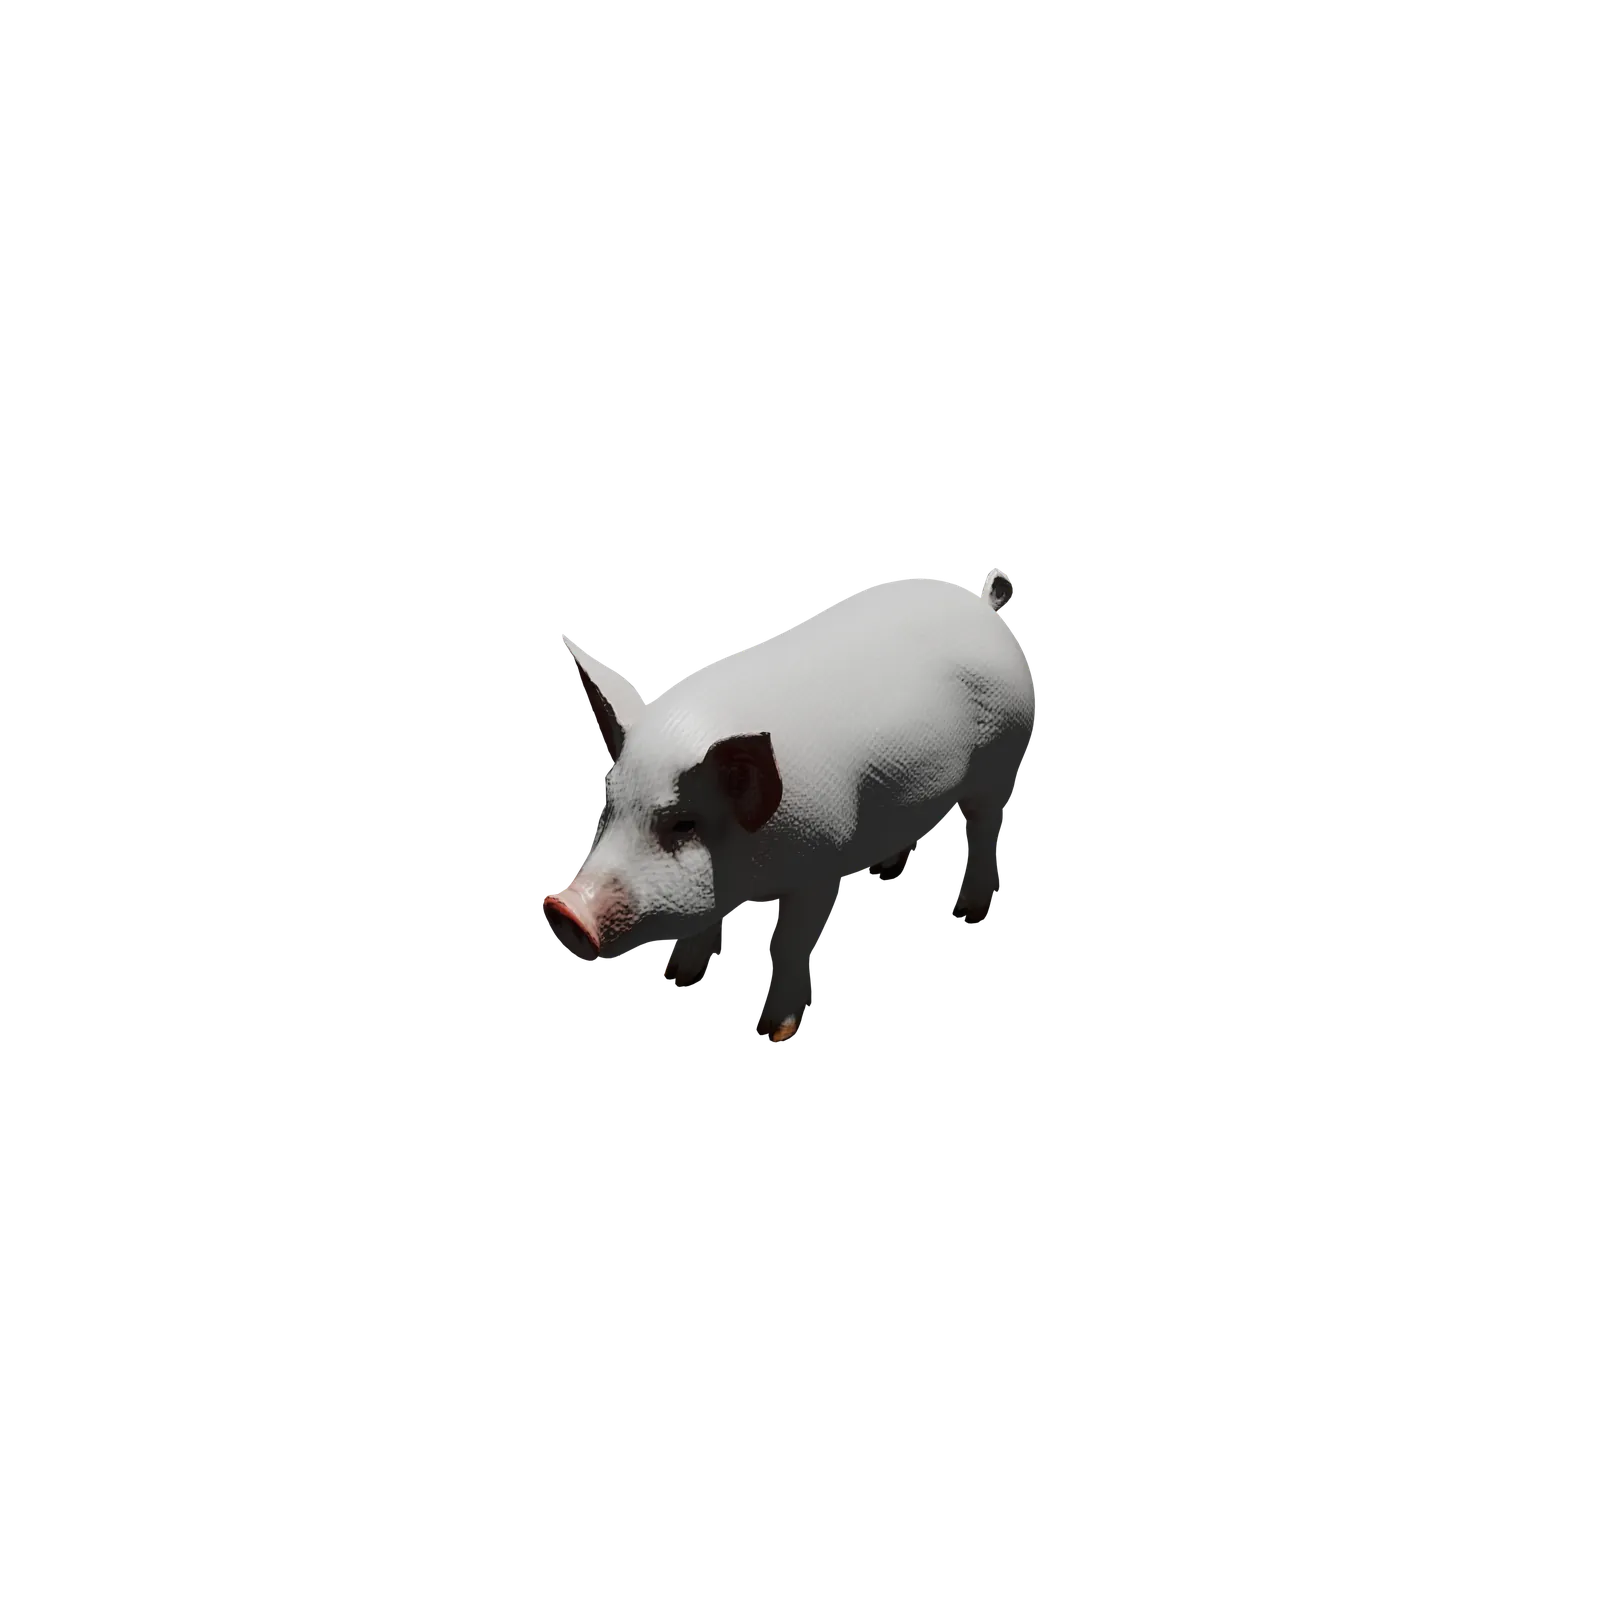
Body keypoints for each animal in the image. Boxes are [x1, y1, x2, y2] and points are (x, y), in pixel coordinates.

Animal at [542, 573, 1039, 1042]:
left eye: (683, 824)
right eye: (609, 805)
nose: (563, 906)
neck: (757, 870)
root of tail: (981, 604)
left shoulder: (821, 867)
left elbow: (786, 946)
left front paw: (774, 1034)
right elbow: (703, 925)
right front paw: (675, 981)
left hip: (1001, 759)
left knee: (983, 828)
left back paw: (969, 913)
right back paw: (886, 872)